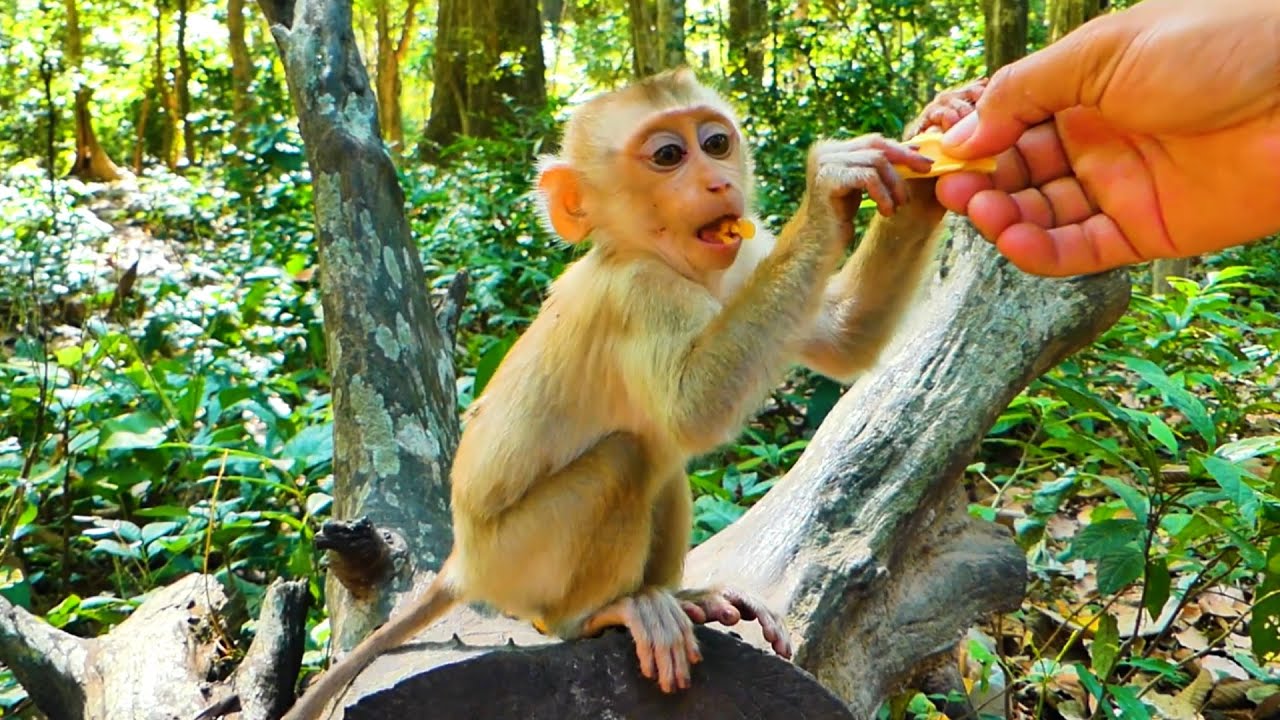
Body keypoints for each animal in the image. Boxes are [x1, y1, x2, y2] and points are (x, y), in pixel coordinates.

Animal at [282, 70, 987, 719]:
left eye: (716, 142)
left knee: (661, 464)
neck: (659, 258)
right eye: (669, 155)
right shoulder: (639, 295)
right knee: (631, 455)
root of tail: (461, 563)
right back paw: (598, 614)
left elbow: (842, 336)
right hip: (517, 562)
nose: (718, 182)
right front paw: (829, 188)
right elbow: (693, 408)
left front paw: (937, 142)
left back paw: (682, 598)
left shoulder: (747, 252)